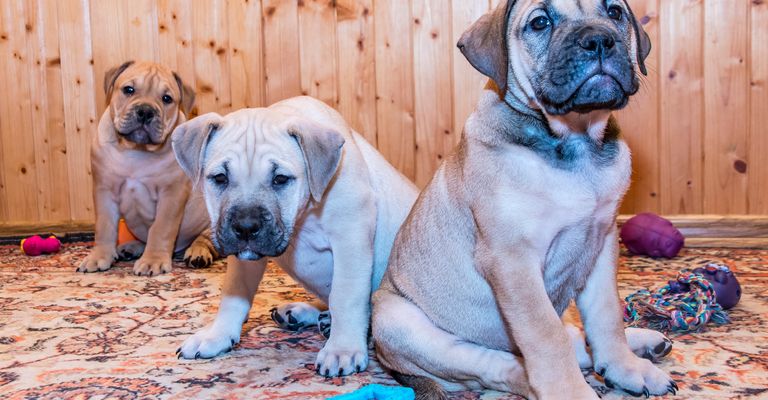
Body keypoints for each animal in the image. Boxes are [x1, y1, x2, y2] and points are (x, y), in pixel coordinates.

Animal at [79, 61, 216, 276]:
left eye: (167, 98)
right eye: (129, 90)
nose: (145, 110)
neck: (136, 151)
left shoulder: (171, 195)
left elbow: (160, 229)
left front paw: (153, 261)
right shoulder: (104, 190)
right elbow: (104, 226)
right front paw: (98, 257)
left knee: (207, 240)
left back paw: (198, 253)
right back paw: (131, 248)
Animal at [173, 95, 416, 376]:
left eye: (280, 179)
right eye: (220, 178)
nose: (245, 226)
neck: (303, 216)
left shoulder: (351, 235)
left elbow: (346, 296)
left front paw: (342, 349)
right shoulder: (244, 258)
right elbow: (234, 293)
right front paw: (217, 335)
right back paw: (304, 313)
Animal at [376, 0, 676, 400]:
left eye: (615, 12)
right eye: (540, 22)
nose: (598, 41)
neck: (576, 140)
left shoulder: (602, 241)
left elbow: (606, 315)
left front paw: (624, 367)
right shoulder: (512, 259)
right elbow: (545, 335)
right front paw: (571, 392)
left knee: (573, 338)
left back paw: (642, 343)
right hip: (396, 321)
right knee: (496, 366)